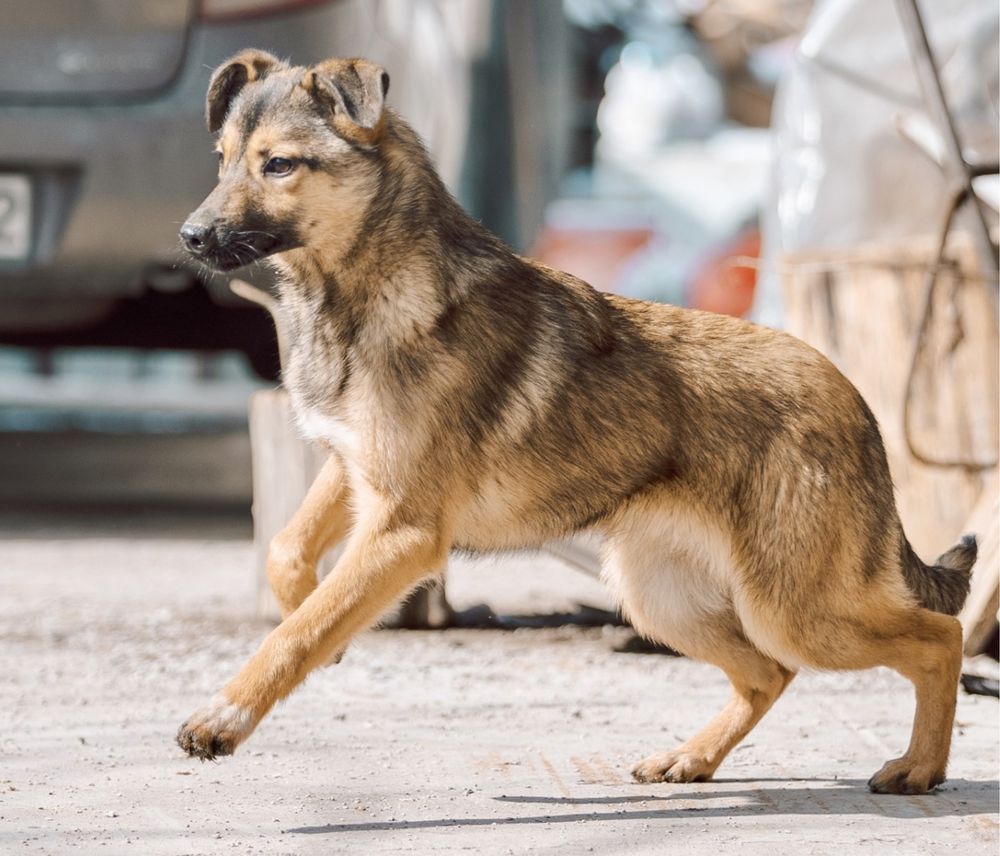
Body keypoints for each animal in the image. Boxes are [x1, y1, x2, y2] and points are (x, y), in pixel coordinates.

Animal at [176, 50, 972, 792]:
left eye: (279, 164)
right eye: (220, 161)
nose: (190, 236)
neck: (358, 293)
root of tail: (853, 398)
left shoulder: (404, 530)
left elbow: (295, 634)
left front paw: (225, 715)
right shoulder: (356, 472)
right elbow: (289, 559)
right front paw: (318, 622)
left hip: (795, 608)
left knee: (940, 636)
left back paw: (919, 767)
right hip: (662, 600)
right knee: (769, 673)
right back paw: (693, 757)